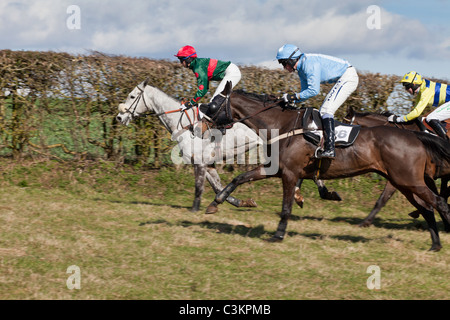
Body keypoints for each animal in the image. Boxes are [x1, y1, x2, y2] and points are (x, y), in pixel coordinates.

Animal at [208, 83, 450, 252]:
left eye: (213, 103)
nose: (206, 126)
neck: (283, 126)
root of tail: (415, 137)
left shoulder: (289, 173)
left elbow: (286, 207)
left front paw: (278, 234)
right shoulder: (274, 169)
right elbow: (240, 178)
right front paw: (215, 203)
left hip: (409, 181)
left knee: (439, 203)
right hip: (403, 182)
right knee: (427, 208)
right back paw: (435, 244)